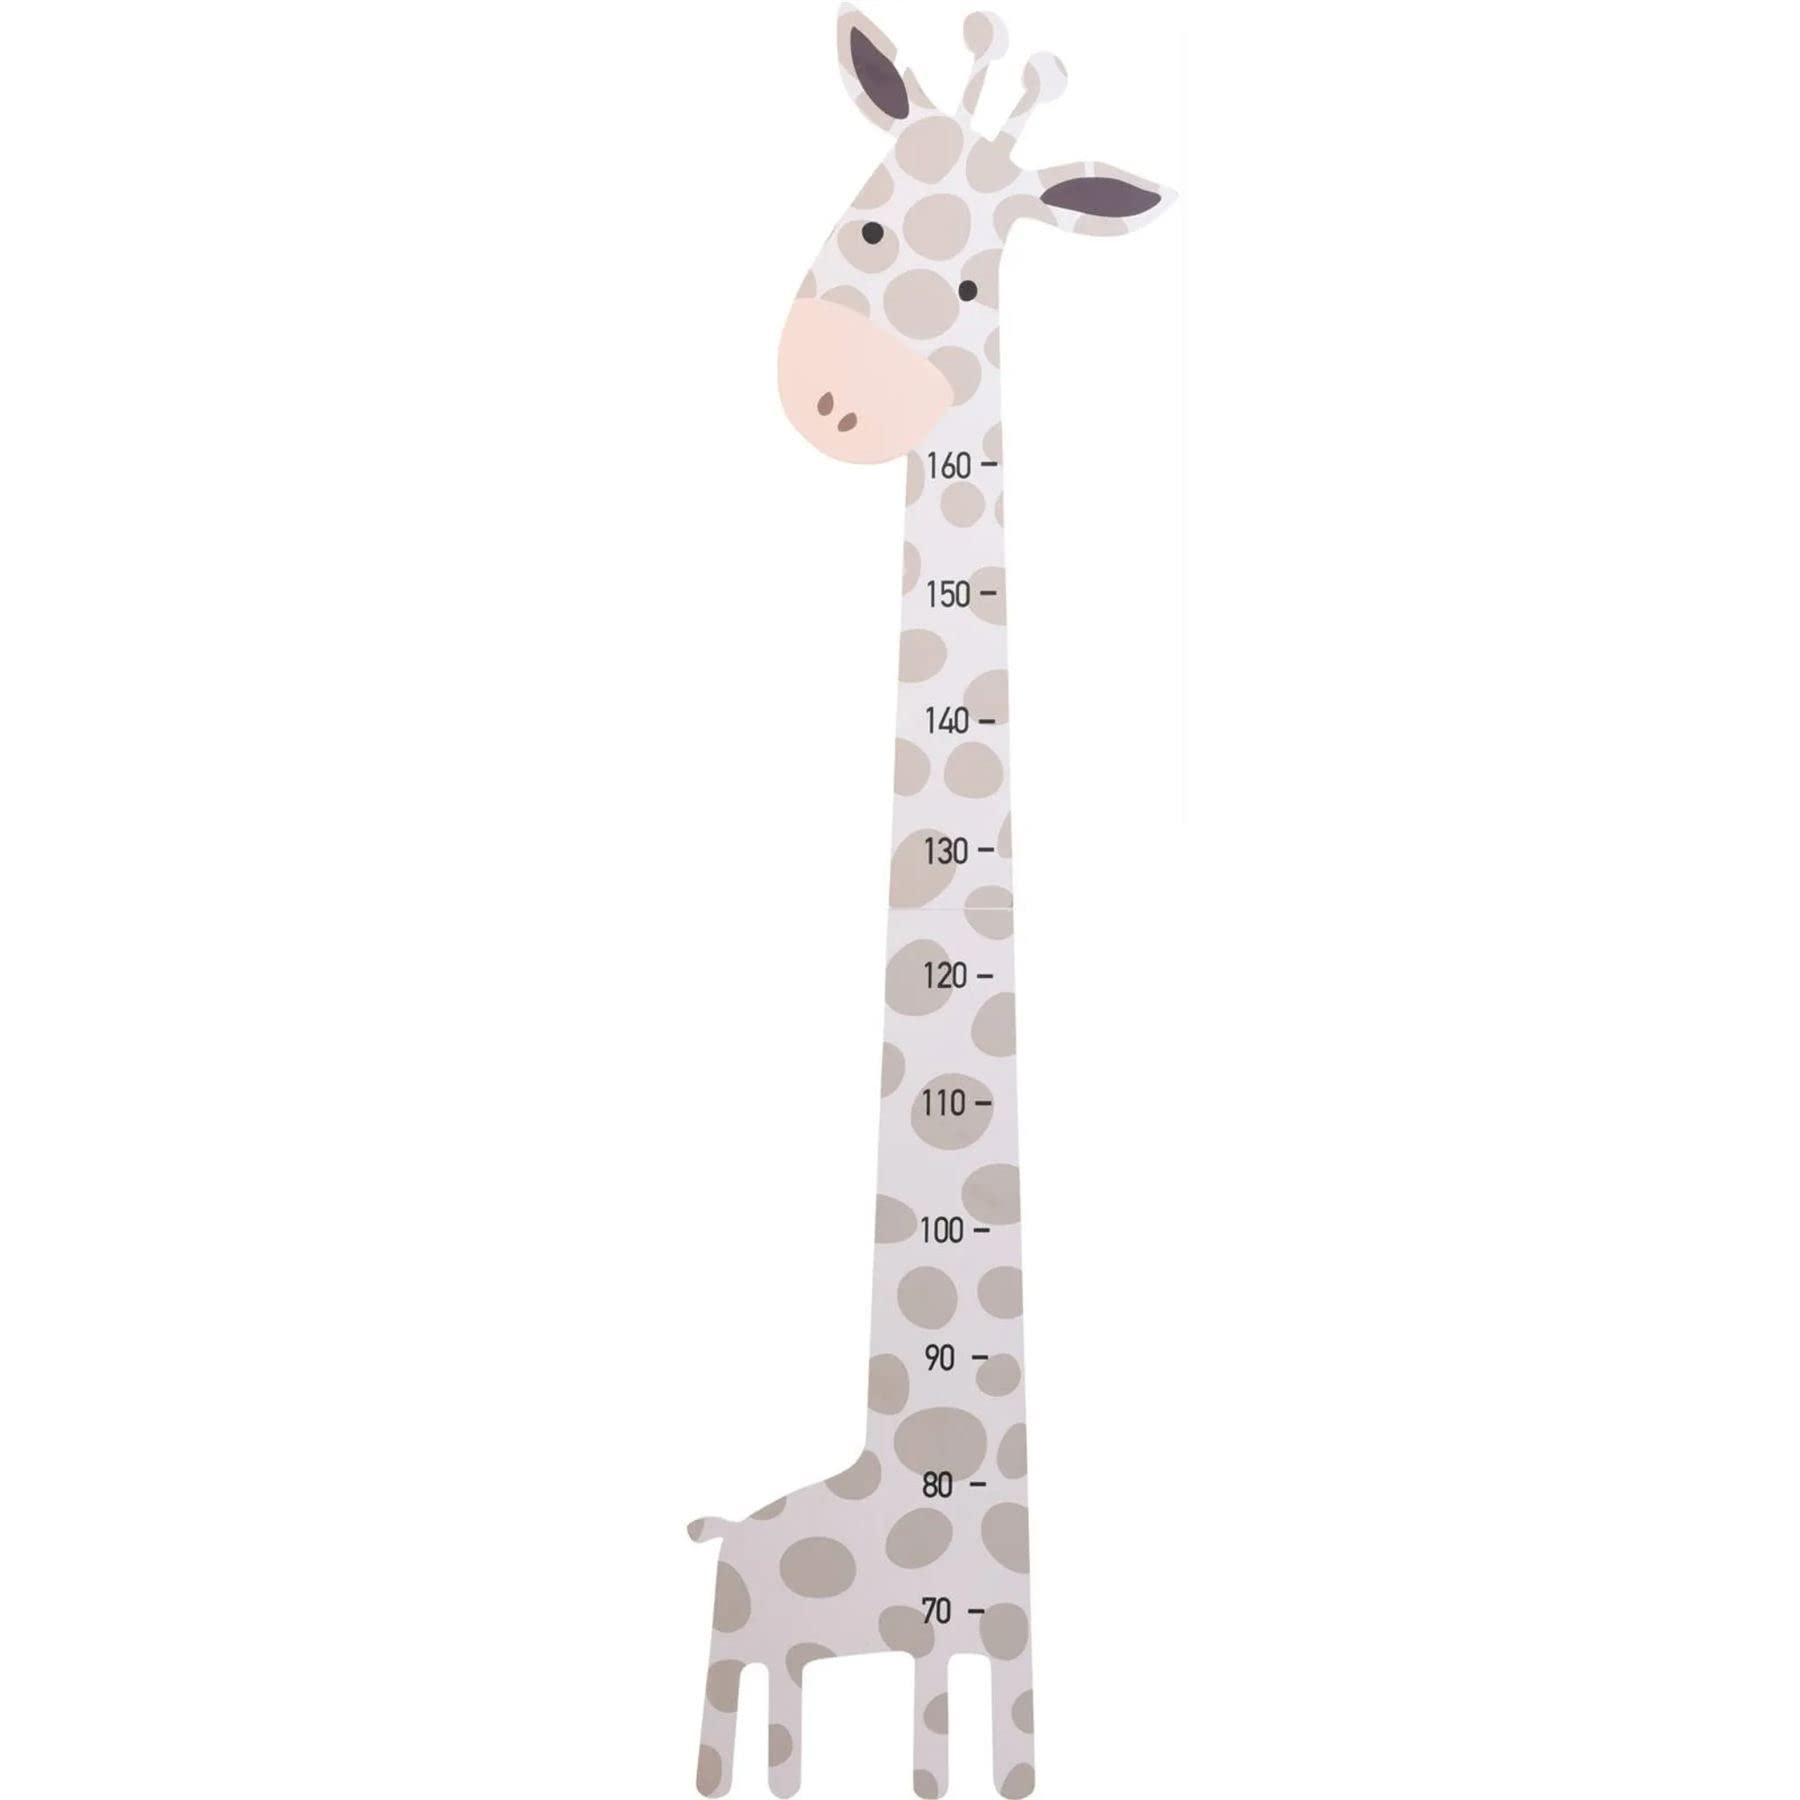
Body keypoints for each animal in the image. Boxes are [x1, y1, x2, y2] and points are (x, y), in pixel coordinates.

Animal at [688, 11, 1173, 1796]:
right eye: (873, 215)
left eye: (976, 283)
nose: (835, 396)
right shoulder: (900, 1646)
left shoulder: (995, 1644)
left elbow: (984, 1755)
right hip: (751, 1638)